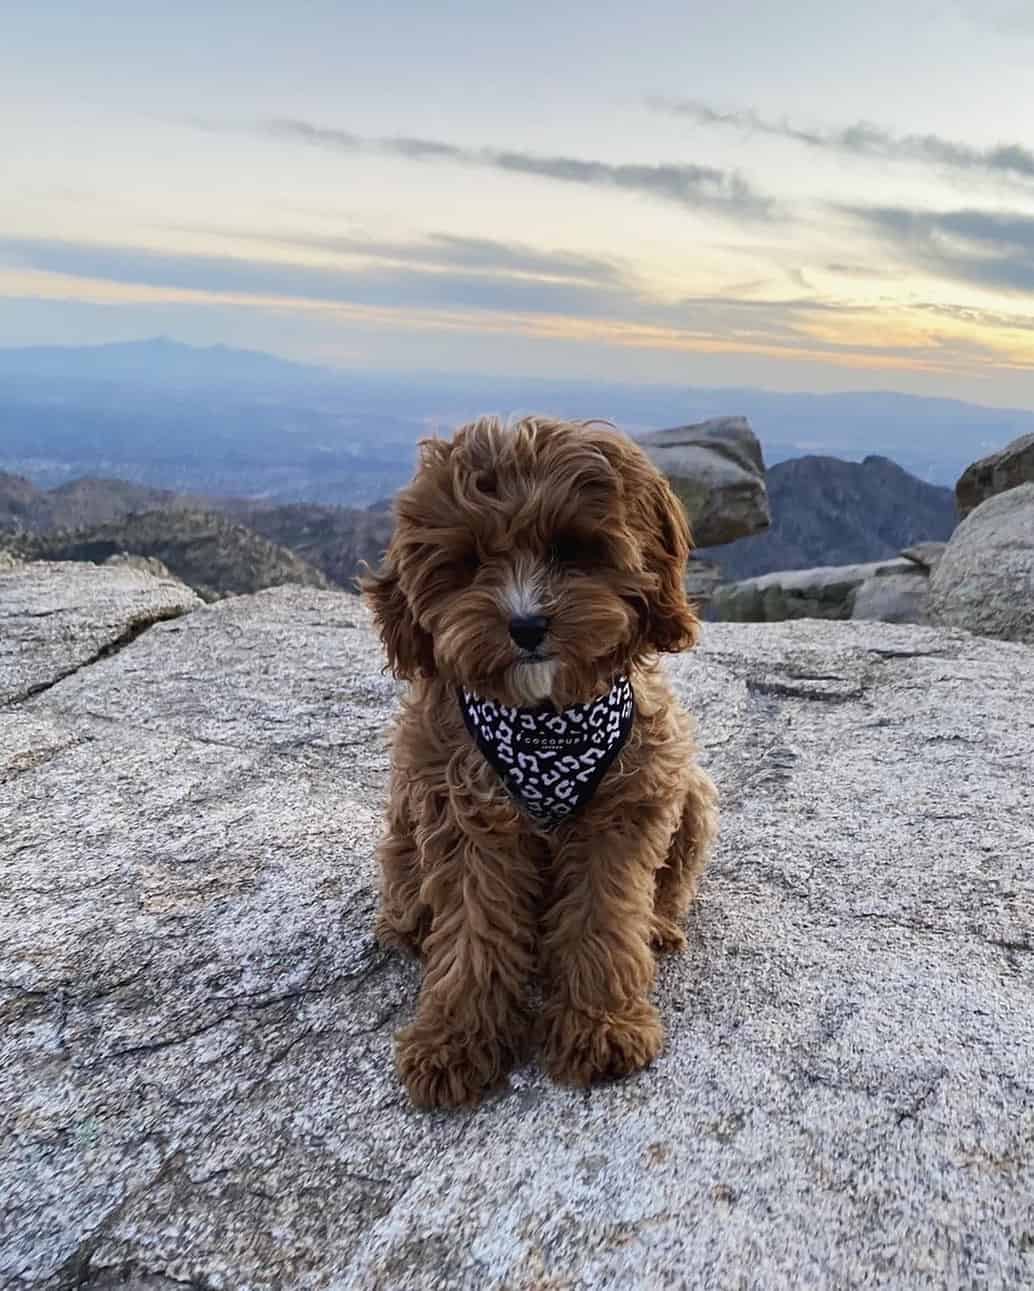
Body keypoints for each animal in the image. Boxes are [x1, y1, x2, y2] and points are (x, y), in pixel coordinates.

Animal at [364, 415, 717, 1110]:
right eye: (470, 561)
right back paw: (411, 926)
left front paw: (601, 1026)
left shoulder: (627, 805)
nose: (526, 625)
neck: (546, 723)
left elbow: (604, 917)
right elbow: (473, 931)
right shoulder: (463, 814)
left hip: (690, 793)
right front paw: (455, 1040)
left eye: (571, 548)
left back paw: (659, 928)